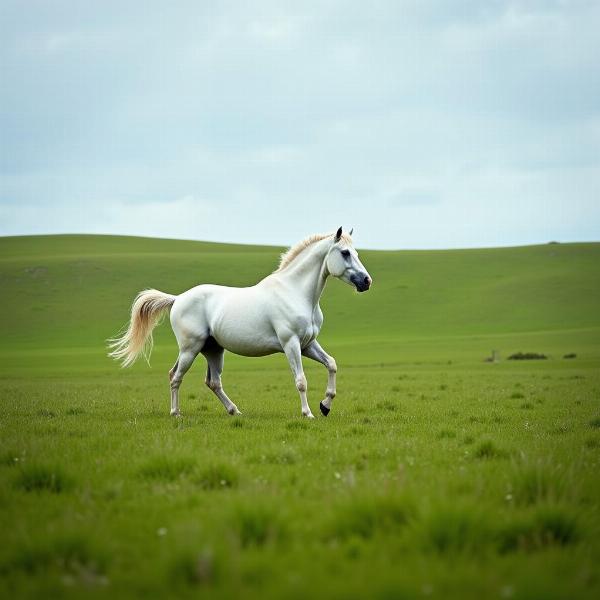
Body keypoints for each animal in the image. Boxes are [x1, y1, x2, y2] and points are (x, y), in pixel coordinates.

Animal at [107, 227, 370, 420]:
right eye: (345, 253)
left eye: (356, 253)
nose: (366, 281)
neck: (294, 292)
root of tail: (178, 299)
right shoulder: (291, 344)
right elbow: (301, 381)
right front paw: (308, 414)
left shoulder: (307, 344)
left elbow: (332, 364)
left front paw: (325, 405)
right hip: (190, 349)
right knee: (176, 377)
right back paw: (176, 413)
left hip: (213, 350)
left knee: (212, 382)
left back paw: (234, 411)